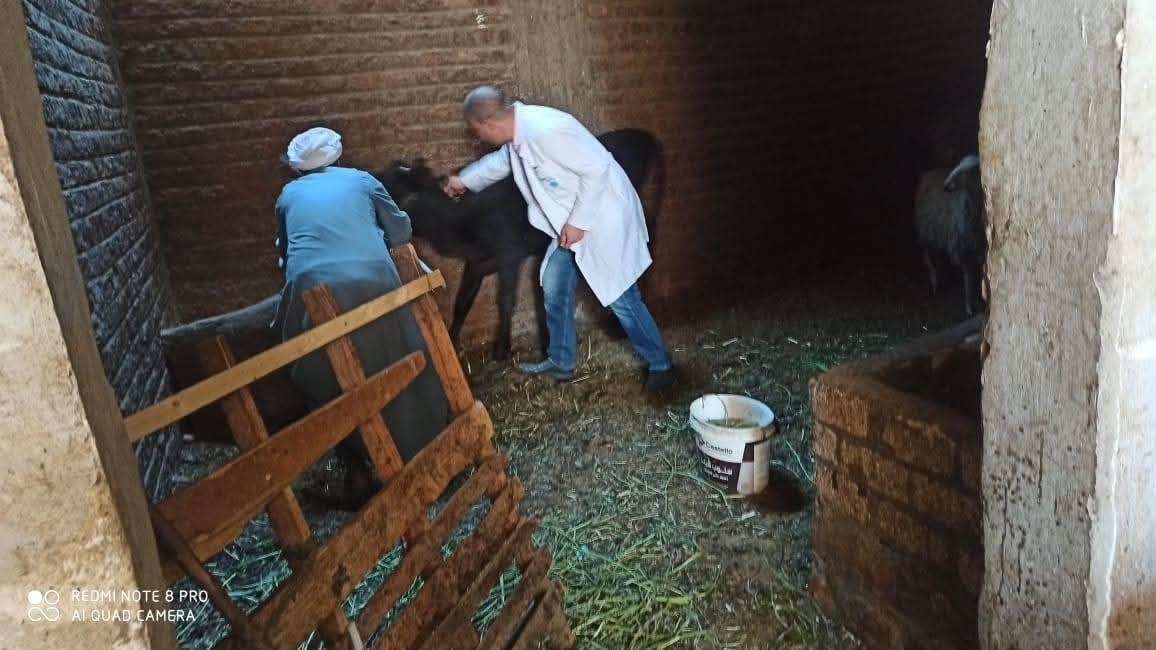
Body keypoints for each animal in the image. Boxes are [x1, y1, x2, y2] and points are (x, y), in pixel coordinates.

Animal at [914, 154, 986, 316]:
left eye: (974, 169)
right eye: (959, 163)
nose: (946, 185)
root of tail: (932, 171)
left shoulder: (979, 250)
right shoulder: (964, 250)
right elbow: (968, 279)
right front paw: (969, 308)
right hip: (927, 236)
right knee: (931, 261)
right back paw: (935, 285)